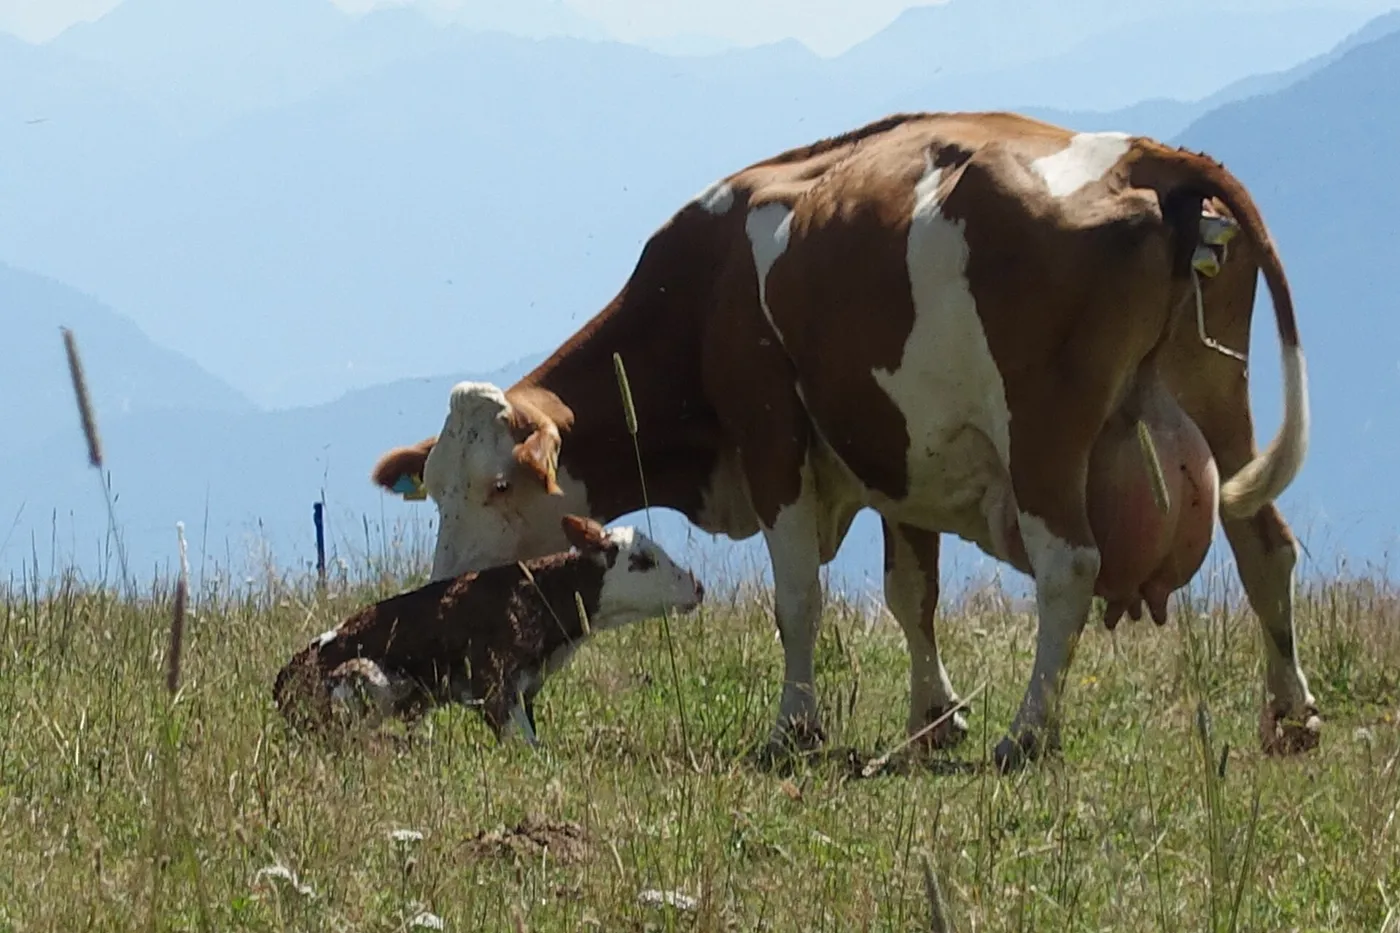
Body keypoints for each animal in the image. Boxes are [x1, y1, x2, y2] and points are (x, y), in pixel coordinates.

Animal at [368, 111, 1317, 772]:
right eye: (437, 489)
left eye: (498, 485)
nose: (442, 590)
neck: (701, 290)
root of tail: (1143, 156)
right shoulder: (898, 449)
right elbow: (910, 591)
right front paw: (934, 718)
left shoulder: (771, 436)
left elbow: (798, 599)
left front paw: (795, 726)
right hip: (1213, 392)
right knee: (1261, 538)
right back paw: (1291, 715)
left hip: (1043, 427)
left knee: (1069, 567)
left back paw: (1028, 732)